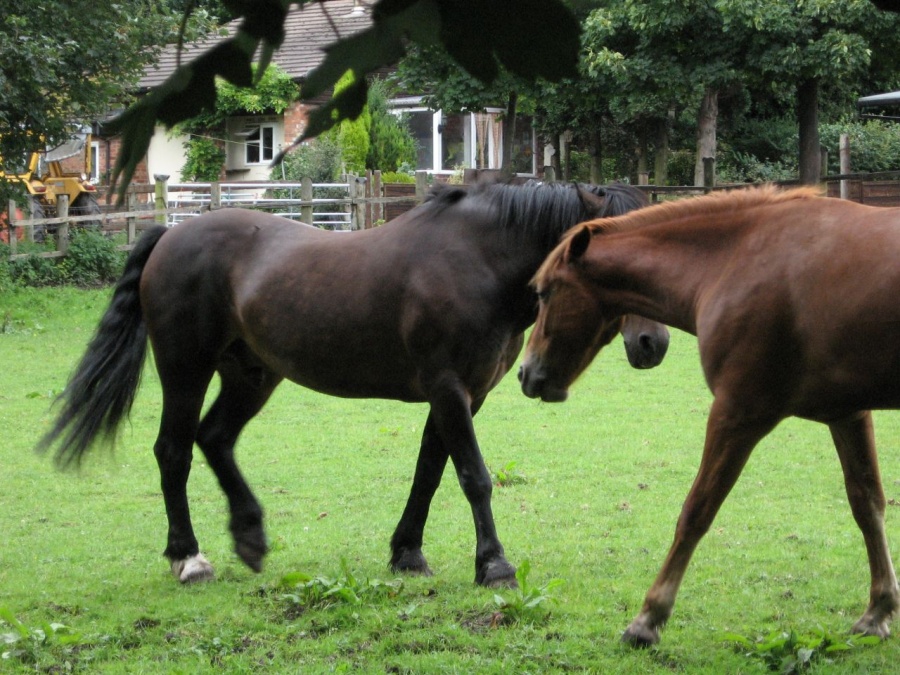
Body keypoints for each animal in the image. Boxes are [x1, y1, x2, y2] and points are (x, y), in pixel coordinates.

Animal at [38, 182, 668, 588]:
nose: (652, 344)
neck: (478, 262)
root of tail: (170, 236)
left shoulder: (463, 395)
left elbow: (429, 473)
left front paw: (407, 554)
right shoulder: (449, 389)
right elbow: (473, 477)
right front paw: (494, 565)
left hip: (252, 373)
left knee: (214, 439)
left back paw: (249, 535)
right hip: (185, 367)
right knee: (174, 450)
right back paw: (188, 559)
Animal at [520, 184, 900, 644]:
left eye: (543, 292)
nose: (526, 373)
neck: (730, 262)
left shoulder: (736, 414)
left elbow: (696, 511)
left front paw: (648, 618)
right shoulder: (847, 414)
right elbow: (867, 503)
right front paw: (878, 610)